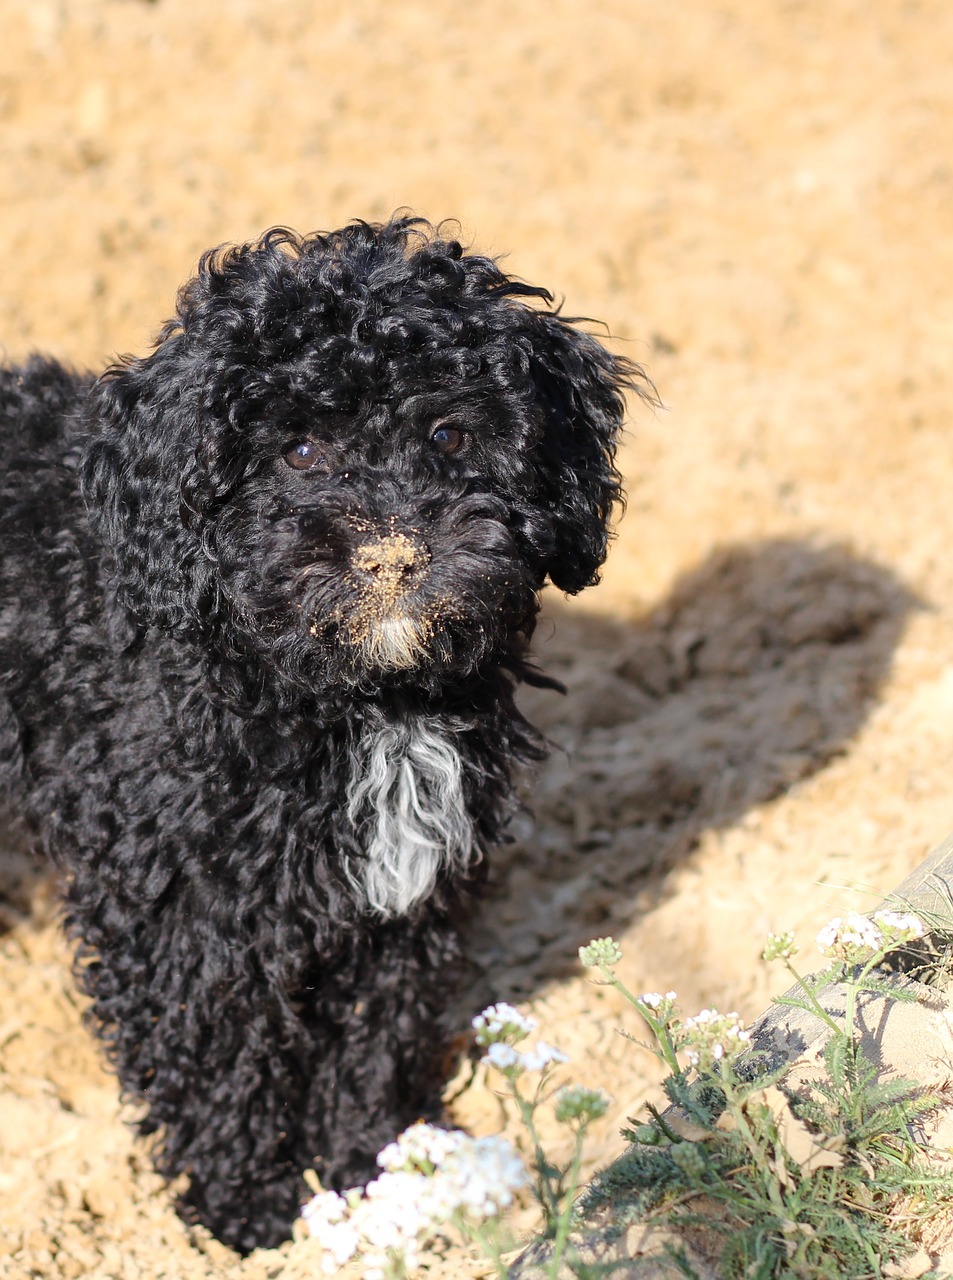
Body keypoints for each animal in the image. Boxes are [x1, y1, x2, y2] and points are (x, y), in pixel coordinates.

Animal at [0, 220, 647, 1249]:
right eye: (297, 450)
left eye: (449, 434)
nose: (392, 556)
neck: (356, 702)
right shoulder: (182, 906)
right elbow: (218, 1058)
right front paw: (246, 1213)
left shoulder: (398, 892)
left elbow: (373, 1036)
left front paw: (375, 1169)